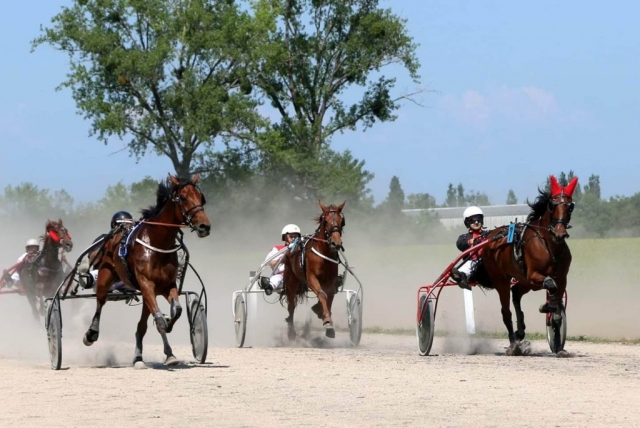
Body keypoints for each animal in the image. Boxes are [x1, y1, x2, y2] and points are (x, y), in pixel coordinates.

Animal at [82, 174, 210, 368]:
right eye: (183, 198)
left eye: (201, 198)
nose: (204, 226)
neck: (158, 242)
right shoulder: (146, 284)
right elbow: (159, 321)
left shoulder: (166, 286)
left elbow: (177, 310)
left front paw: (169, 345)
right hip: (105, 276)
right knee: (100, 301)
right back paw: (91, 334)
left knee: (141, 326)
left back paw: (140, 357)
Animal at [282, 201, 348, 342]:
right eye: (325, 221)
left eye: (342, 221)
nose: (336, 243)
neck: (324, 253)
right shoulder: (311, 278)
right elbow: (322, 295)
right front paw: (327, 321)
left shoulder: (331, 282)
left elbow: (328, 297)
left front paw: (321, 312)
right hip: (292, 282)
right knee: (291, 306)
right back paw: (291, 332)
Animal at [480, 176, 580, 356]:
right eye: (552, 204)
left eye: (570, 206)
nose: (559, 232)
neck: (550, 246)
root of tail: (491, 236)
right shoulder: (534, 276)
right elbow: (550, 284)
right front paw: (547, 306)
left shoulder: (562, 279)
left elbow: (557, 311)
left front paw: (558, 345)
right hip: (502, 280)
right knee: (506, 311)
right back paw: (513, 345)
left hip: (525, 282)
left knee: (516, 293)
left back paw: (520, 331)